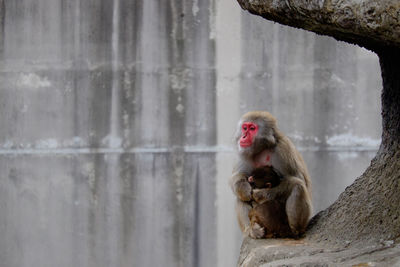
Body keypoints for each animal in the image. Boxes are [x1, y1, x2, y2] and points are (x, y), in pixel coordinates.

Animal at [231, 111, 312, 239]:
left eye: (252, 128)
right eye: (244, 128)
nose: (243, 137)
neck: (262, 149)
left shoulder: (283, 150)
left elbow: (300, 180)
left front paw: (261, 194)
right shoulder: (243, 152)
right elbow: (237, 176)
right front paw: (243, 188)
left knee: (298, 186)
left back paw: (295, 230)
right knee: (240, 197)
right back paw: (252, 230)